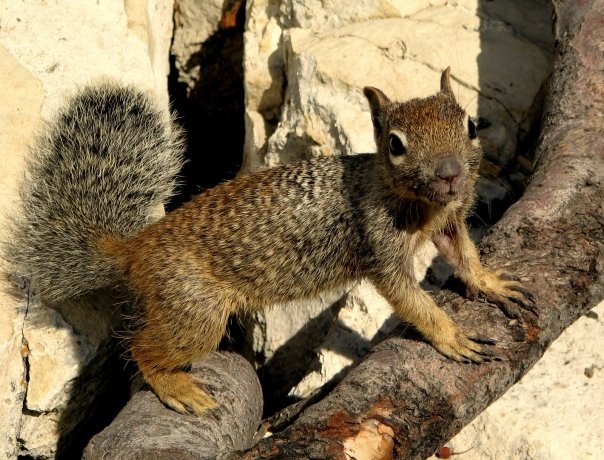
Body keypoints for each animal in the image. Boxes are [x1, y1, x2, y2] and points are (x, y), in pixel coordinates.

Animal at [3, 69, 532, 416]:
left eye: (470, 125)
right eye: (396, 145)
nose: (450, 174)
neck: (419, 203)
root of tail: (135, 249)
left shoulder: (449, 222)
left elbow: (464, 255)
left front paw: (490, 282)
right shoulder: (382, 249)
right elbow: (413, 302)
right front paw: (453, 337)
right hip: (195, 313)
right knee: (142, 347)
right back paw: (175, 387)